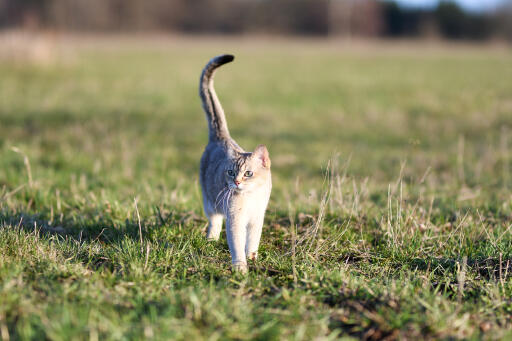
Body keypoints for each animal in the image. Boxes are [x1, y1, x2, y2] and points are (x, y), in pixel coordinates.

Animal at [199, 54, 272, 272]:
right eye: (231, 172)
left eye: (248, 173)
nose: (237, 182)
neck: (250, 196)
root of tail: (221, 137)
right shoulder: (235, 221)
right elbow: (237, 246)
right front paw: (240, 268)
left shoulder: (257, 218)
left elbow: (253, 242)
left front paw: (253, 258)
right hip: (209, 202)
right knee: (215, 222)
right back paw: (211, 241)